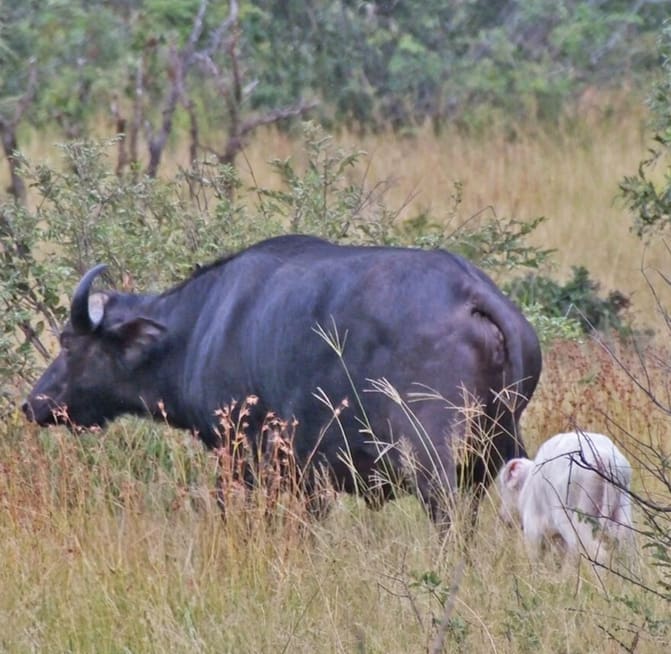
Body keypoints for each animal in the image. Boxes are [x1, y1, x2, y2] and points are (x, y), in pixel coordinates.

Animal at [23, 233, 544, 524]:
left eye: (68, 343)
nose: (33, 403)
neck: (203, 324)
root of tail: (471, 292)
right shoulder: (310, 481)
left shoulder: (244, 460)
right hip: (499, 451)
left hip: (430, 460)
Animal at [498, 434, 636, 568]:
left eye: (503, 489)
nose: (503, 518)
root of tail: (605, 458)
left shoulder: (533, 526)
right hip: (622, 509)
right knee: (626, 544)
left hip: (580, 518)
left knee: (596, 553)